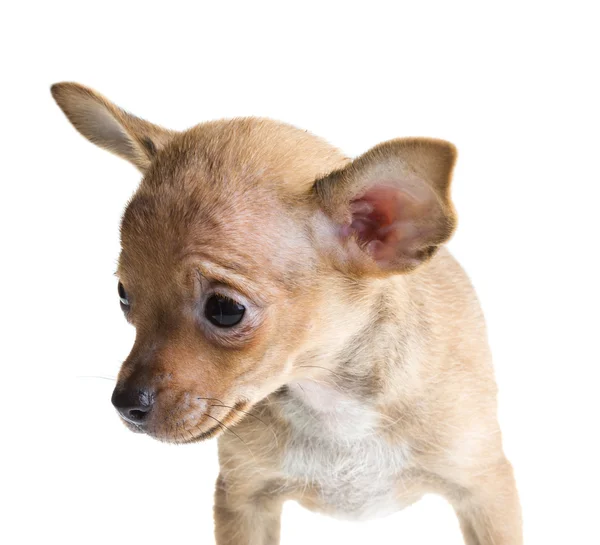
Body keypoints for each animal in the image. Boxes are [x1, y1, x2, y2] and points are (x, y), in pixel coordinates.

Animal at [50, 82, 520, 544]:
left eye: (226, 310)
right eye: (124, 296)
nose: (125, 404)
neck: (329, 401)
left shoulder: (486, 492)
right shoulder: (244, 500)